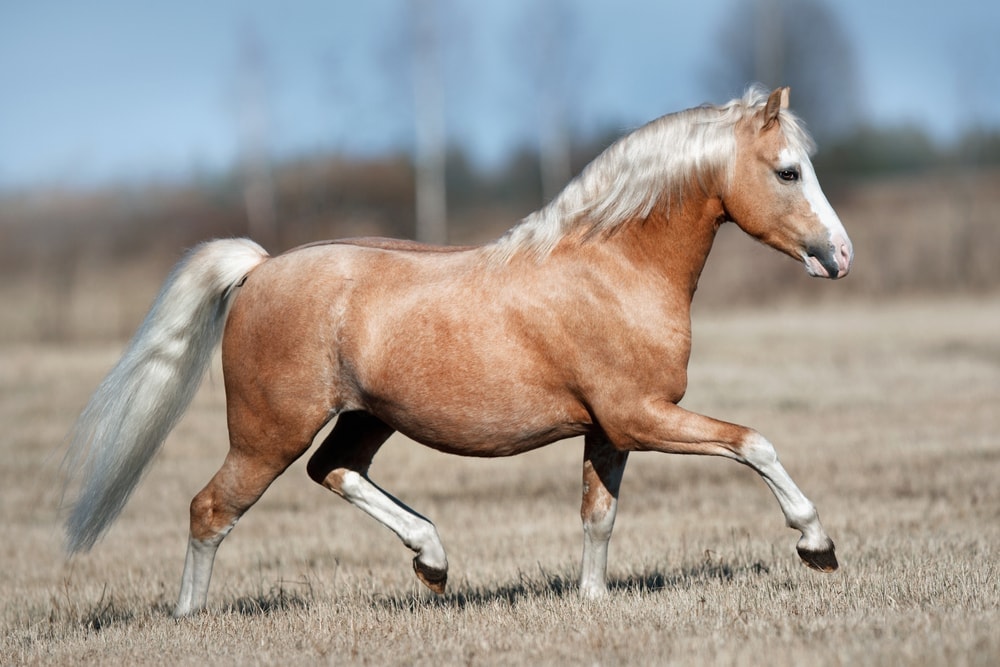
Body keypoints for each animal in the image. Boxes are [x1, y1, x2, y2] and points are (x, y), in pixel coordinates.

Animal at [62, 86, 852, 617]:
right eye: (788, 171)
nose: (839, 256)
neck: (614, 267)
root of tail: (259, 268)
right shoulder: (641, 416)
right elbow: (755, 443)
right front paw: (817, 546)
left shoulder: (609, 429)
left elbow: (598, 515)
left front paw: (592, 599)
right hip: (267, 432)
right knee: (211, 508)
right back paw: (189, 616)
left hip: (365, 418)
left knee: (334, 470)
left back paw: (433, 561)